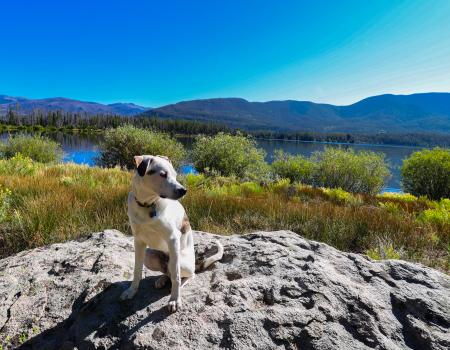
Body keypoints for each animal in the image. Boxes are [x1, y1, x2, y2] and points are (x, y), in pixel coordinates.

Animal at [120, 156, 224, 312]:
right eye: (163, 174)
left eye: (175, 175)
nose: (183, 191)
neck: (147, 205)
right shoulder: (138, 241)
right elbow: (137, 271)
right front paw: (131, 291)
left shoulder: (173, 238)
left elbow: (176, 276)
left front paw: (175, 299)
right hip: (150, 255)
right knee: (167, 272)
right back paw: (162, 279)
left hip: (182, 262)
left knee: (186, 275)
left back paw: (180, 284)